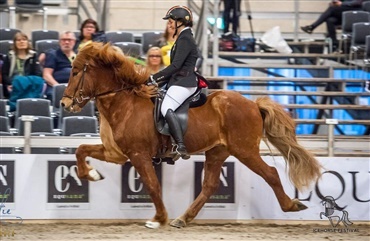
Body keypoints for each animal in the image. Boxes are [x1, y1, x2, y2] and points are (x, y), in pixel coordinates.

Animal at [60, 42, 320, 229]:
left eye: (75, 72)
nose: (64, 104)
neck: (125, 103)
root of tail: (253, 104)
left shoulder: (138, 154)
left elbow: (152, 185)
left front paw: (158, 218)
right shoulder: (117, 153)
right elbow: (80, 150)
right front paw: (90, 174)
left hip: (244, 150)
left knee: (271, 173)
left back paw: (291, 205)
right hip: (217, 152)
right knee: (210, 185)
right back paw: (183, 218)